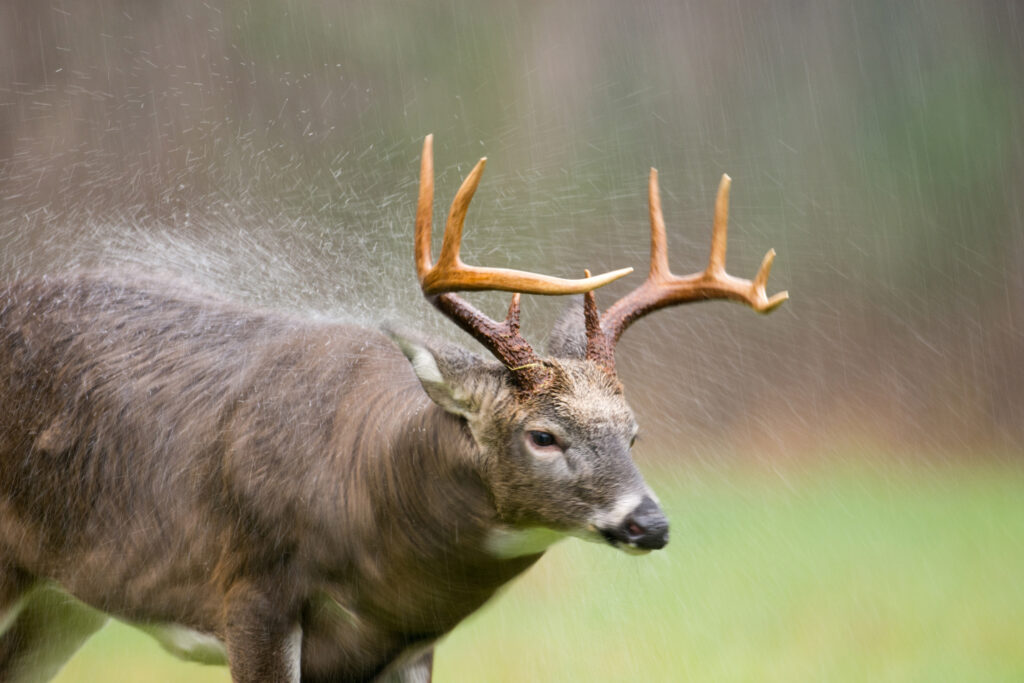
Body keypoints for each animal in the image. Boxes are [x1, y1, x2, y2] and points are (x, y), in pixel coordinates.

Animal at [0, 135, 786, 683]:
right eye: (543, 435)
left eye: (634, 433)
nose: (649, 523)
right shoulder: (251, 591)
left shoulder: (407, 643)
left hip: (69, 597)